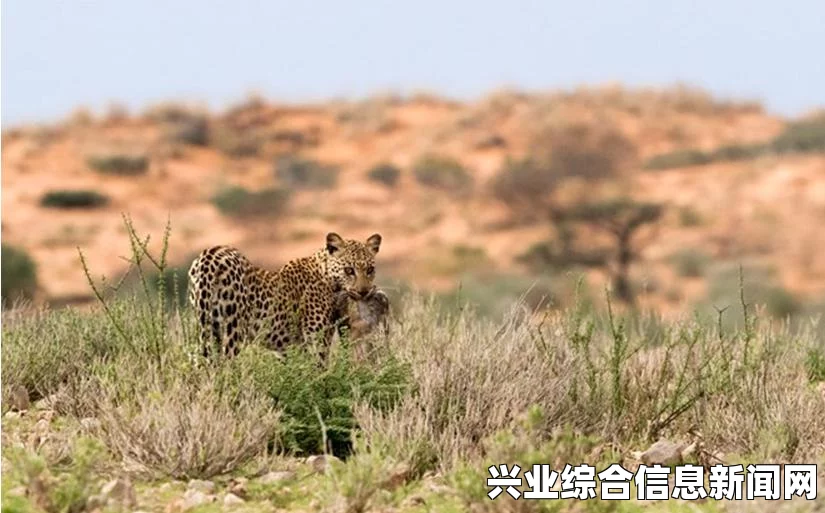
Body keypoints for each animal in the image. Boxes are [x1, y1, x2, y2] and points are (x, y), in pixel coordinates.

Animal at [188, 232, 382, 356]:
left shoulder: (287, 348)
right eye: (349, 270)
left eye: (370, 270)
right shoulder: (316, 340)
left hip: (204, 327)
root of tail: (210, 255)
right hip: (232, 330)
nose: (364, 292)